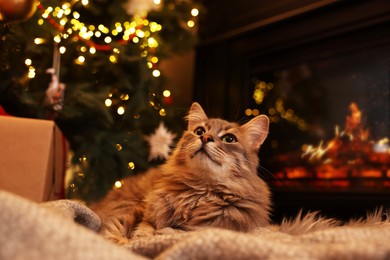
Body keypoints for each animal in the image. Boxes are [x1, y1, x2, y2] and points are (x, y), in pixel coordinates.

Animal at [90, 102, 272, 244]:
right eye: (199, 131)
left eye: (229, 139)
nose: (205, 138)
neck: (199, 191)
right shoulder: (144, 213)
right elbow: (138, 229)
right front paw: (137, 239)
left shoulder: (224, 227)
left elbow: (188, 231)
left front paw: (163, 233)